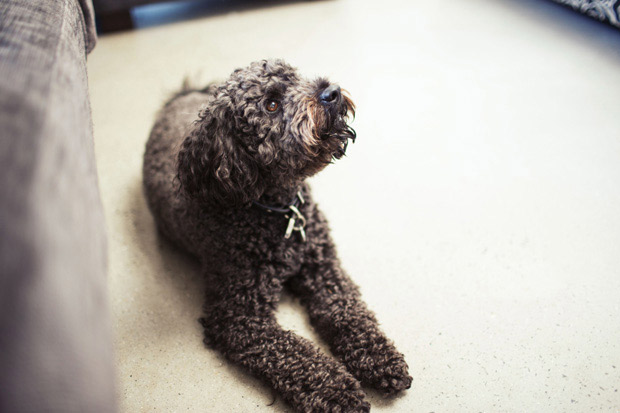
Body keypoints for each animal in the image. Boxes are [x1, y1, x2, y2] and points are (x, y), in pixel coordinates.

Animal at [142, 59, 410, 410]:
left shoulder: (323, 267)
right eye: (271, 105)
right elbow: (294, 355)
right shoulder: (239, 318)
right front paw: (338, 393)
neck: (278, 210)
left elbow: (348, 312)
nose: (331, 92)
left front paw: (379, 358)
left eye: (297, 77)